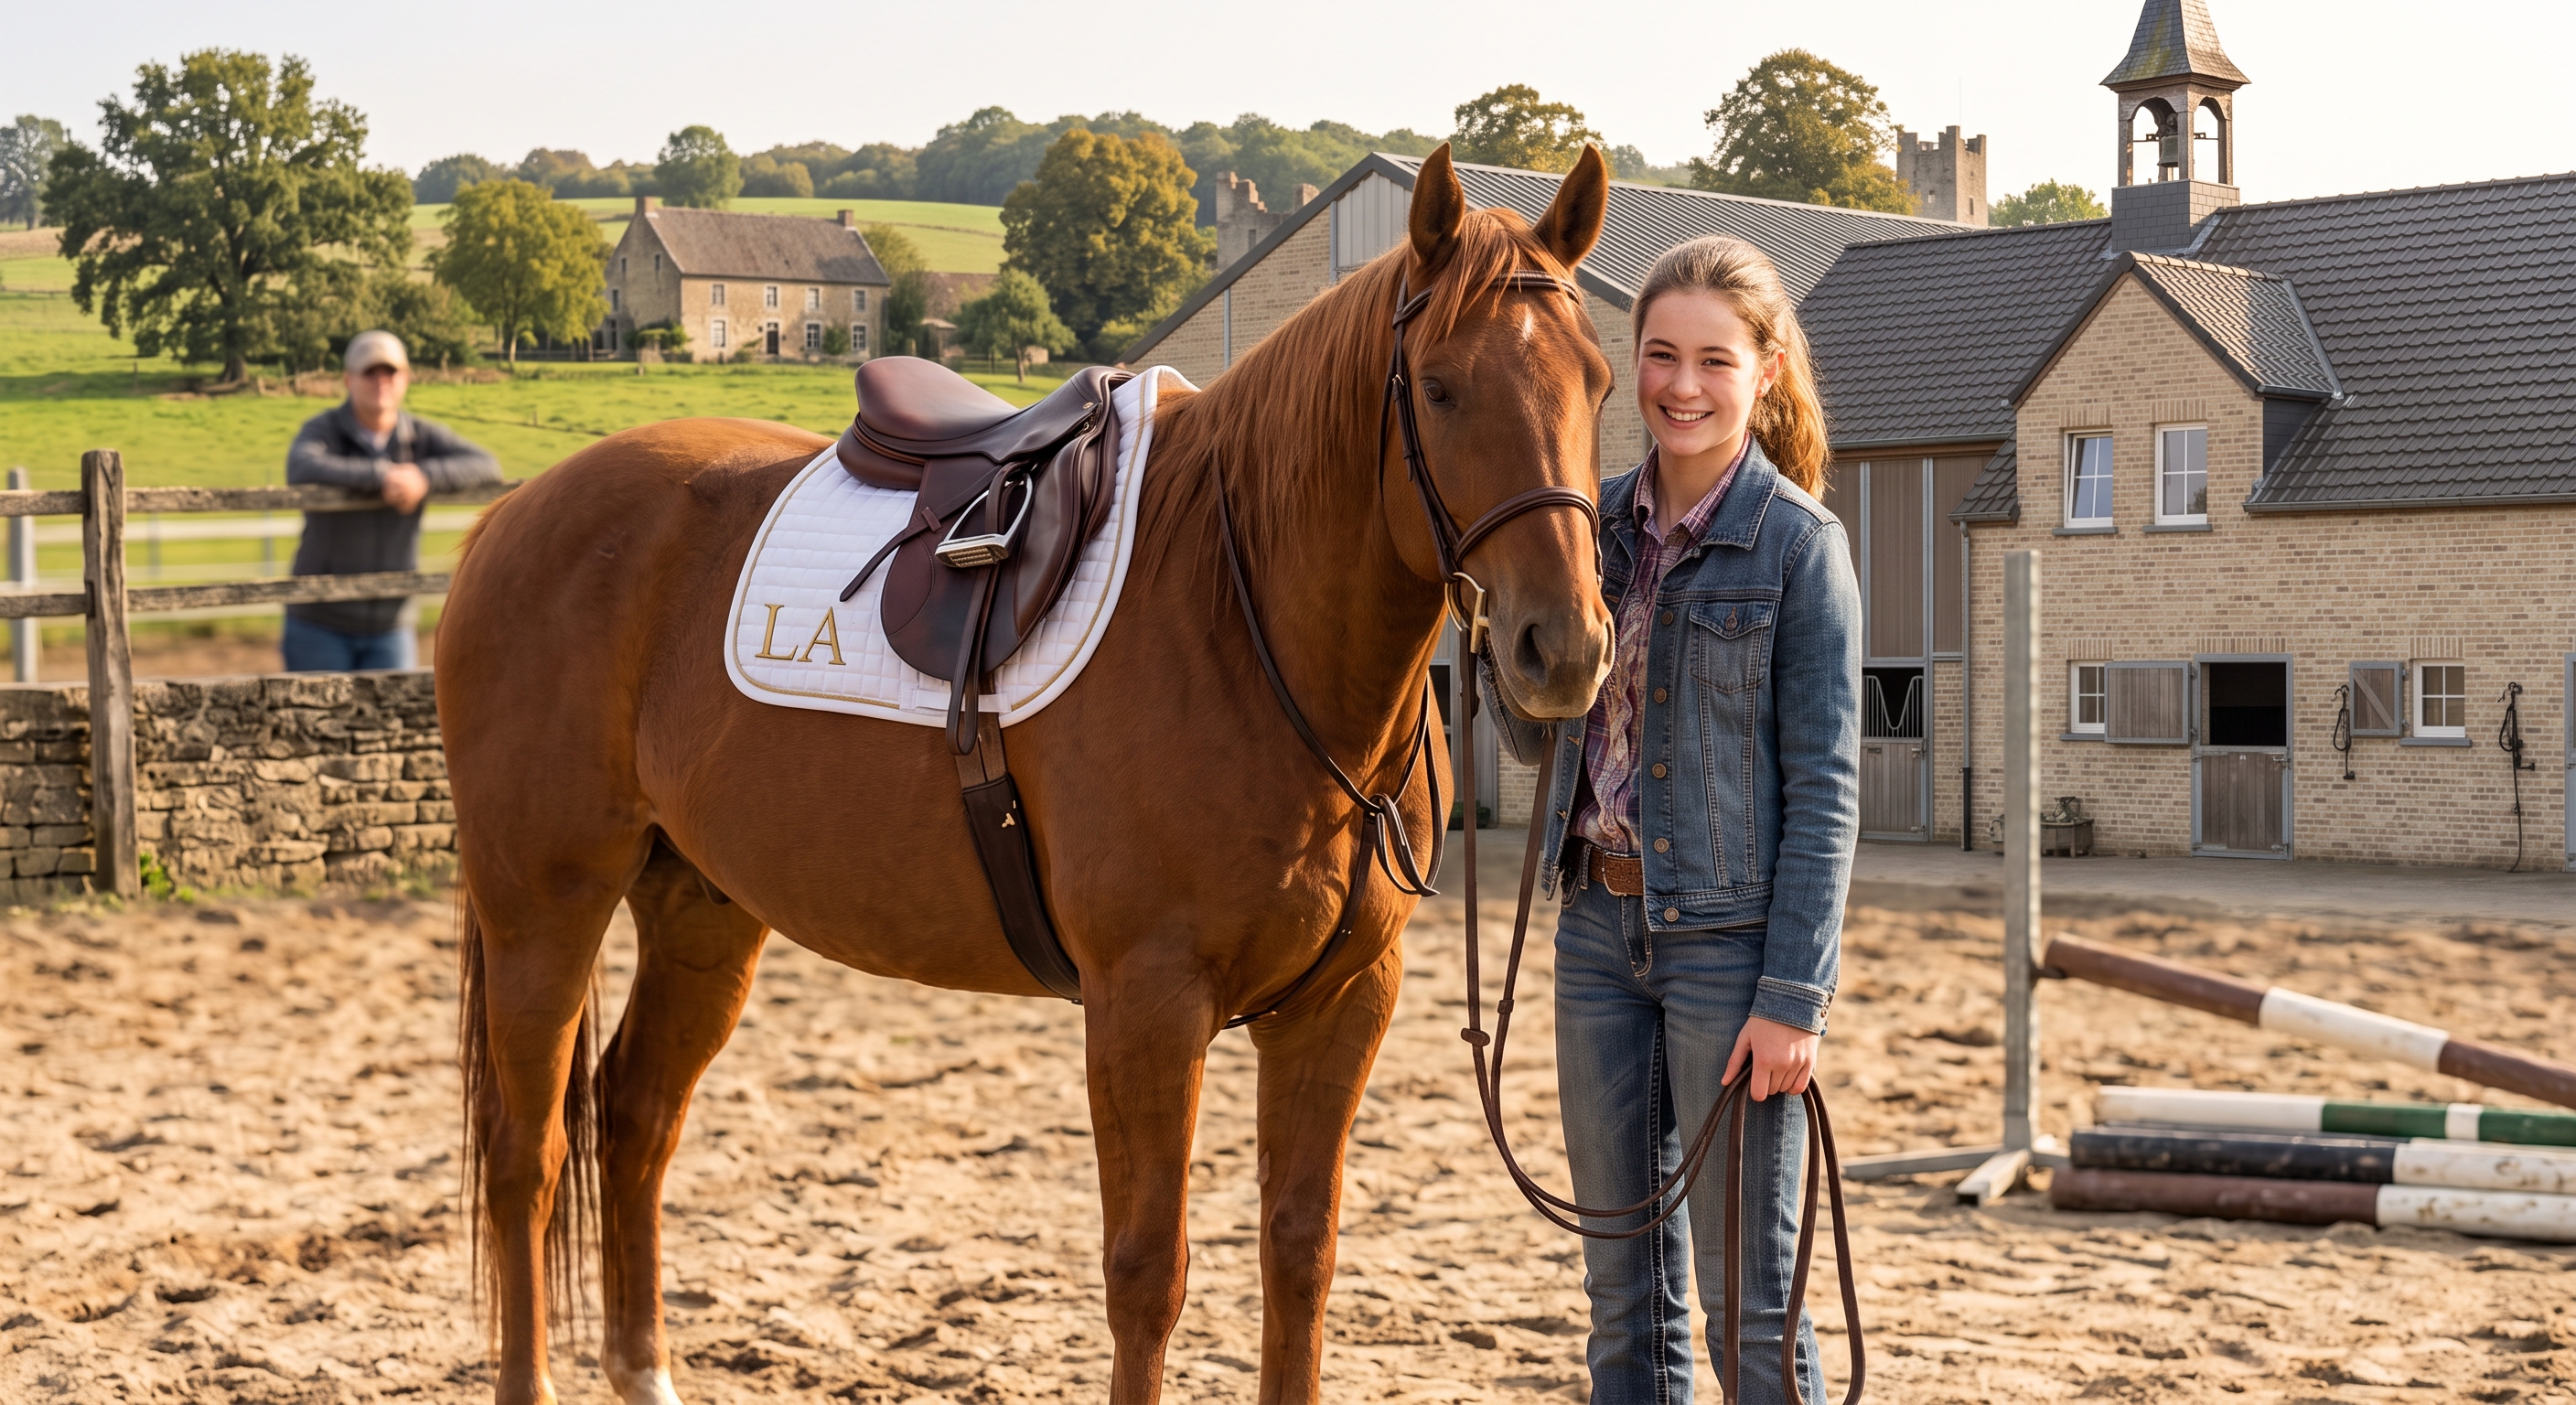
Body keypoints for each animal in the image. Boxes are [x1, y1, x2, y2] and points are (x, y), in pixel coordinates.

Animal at [438, 144, 1617, 1405]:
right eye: (1438, 389)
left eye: (1599, 384)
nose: (1562, 650)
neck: (1238, 613)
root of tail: (513, 515)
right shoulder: (1145, 1005)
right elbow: (1148, 1273)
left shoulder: (1342, 1003)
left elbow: (1300, 1255)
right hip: (544, 905)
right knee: (526, 1154)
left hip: (698, 907)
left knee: (635, 1117)